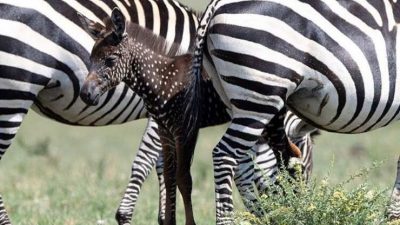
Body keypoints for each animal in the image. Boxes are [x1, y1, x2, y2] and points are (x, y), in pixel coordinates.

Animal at [0, 0, 314, 224]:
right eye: (307, 168)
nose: (299, 206)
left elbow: (165, 168)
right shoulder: (167, 121)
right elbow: (158, 167)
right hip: (14, 95)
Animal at [190, 0, 400, 222]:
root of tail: (216, 4)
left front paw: (392, 216)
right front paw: (393, 216)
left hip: (237, 98)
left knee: (243, 161)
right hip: (261, 93)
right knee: (224, 155)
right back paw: (228, 220)